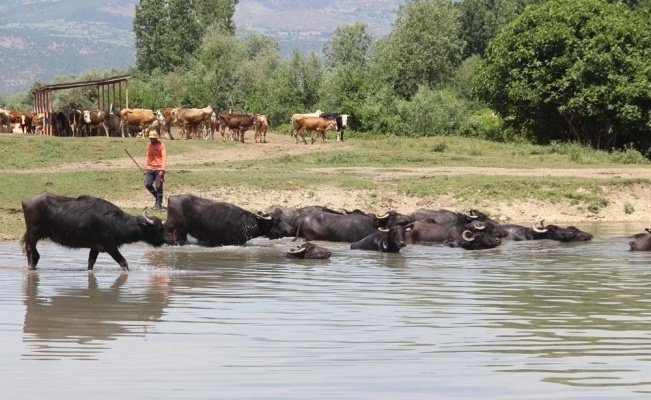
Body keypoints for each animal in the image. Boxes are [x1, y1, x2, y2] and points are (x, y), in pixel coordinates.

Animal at [21, 192, 171, 270]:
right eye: (158, 228)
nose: (171, 239)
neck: (115, 222)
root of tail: (25, 201)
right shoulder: (110, 247)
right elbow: (124, 262)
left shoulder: (95, 248)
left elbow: (90, 264)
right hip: (33, 234)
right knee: (30, 250)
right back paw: (30, 268)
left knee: (35, 253)